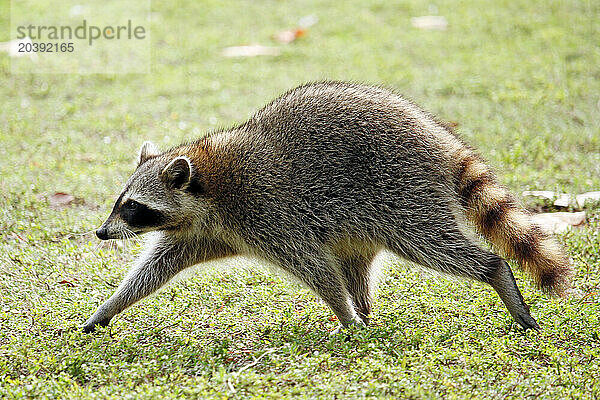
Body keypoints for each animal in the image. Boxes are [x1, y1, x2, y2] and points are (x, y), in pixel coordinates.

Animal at [81, 81, 572, 334]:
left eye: (132, 208)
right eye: (120, 203)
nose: (102, 232)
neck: (209, 185)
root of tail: (439, 138)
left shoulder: (267, 212)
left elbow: (314, 266)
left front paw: (343, 313)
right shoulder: (204, 231)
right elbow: (155, 268)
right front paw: (109, 305)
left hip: (402, 192)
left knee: (431, 244)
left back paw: (492, 272)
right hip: (366, 219)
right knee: (355, 264)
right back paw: (365, 312)